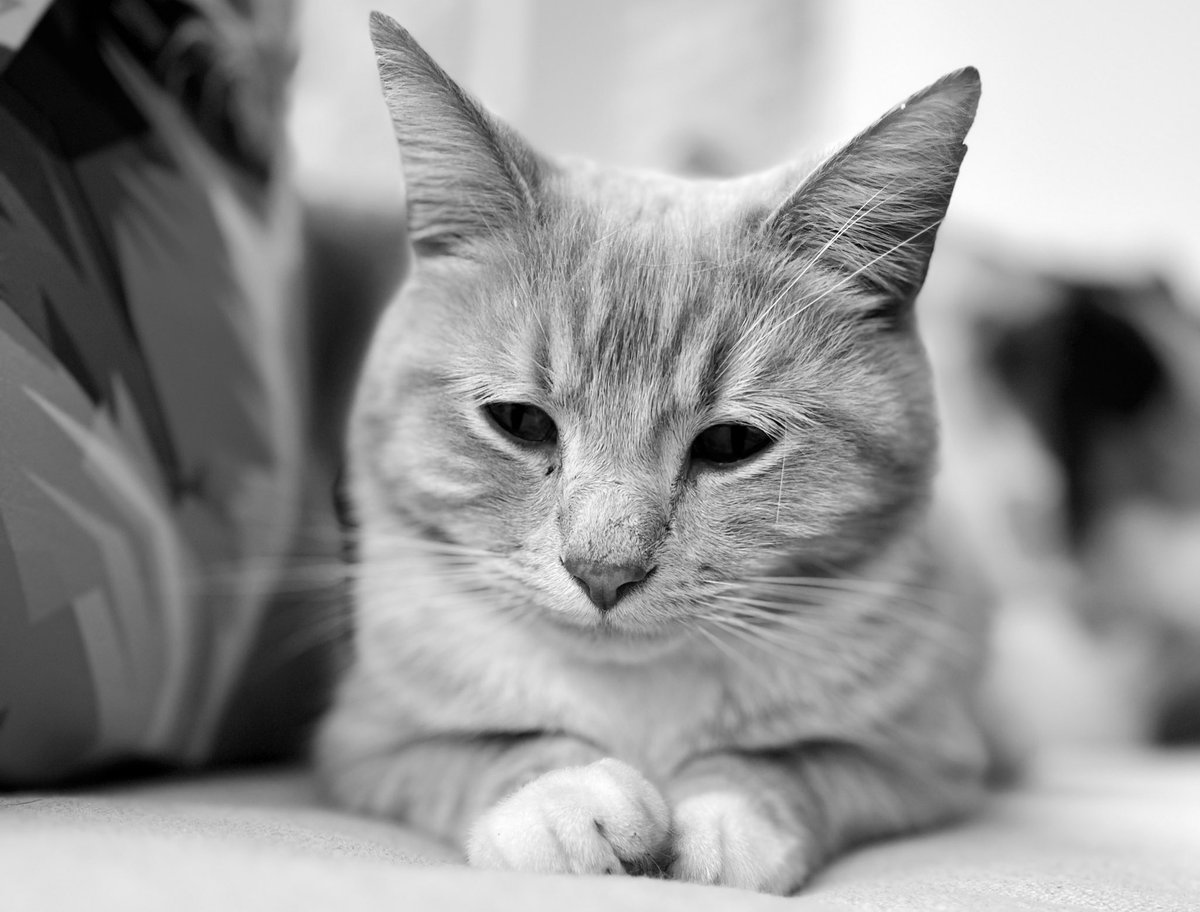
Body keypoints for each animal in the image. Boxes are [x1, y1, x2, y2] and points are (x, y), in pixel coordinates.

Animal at [316, 10, 984, 892]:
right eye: (520, 422)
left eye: (732, 443)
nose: (603, 573)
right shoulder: (361, 744)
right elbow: (488, 747)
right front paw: (562, 796)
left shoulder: (932, 762)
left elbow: (796, 763)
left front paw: (729, 817)